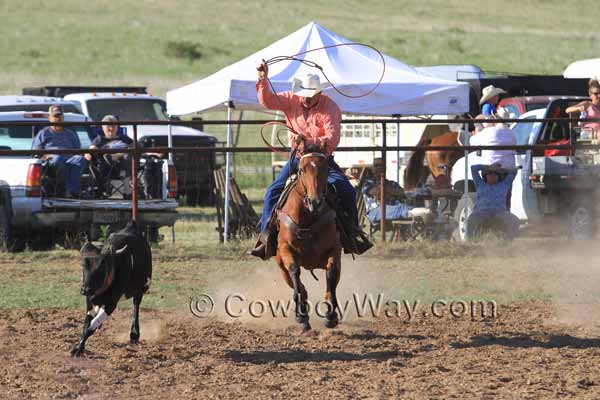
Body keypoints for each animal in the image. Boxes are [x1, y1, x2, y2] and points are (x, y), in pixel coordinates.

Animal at [274, 147, 340, 332]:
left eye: (325, 168)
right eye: (302, 170)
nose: (315, 202)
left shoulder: (335, 249)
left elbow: (331, 272)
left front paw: (331, 316)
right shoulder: (286, 249)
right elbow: (295, 271)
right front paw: (302, 316)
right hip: (281, 268)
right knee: (299, 285)